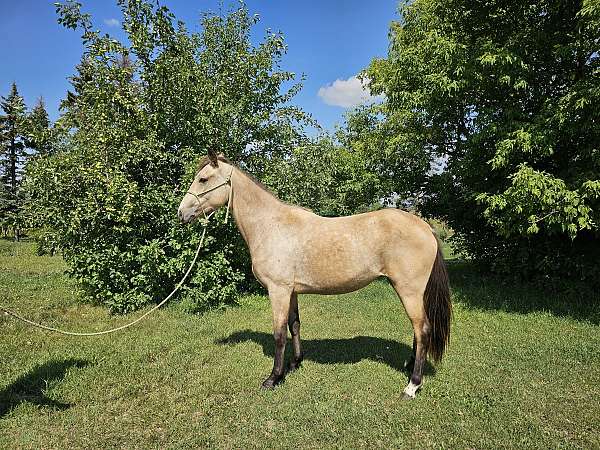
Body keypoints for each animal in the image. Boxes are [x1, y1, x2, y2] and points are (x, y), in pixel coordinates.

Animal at [178, 153, 450, 400]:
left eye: (203, 179)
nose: (181, 213)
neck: (271, 226)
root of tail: (426, 227)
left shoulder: (278, 290)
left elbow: (279, 334)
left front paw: (273, 378)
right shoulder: (291, 291)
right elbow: (294, 326)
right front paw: (295, 364)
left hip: (409, 290)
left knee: (422, 329)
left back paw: (412, 386)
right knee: (417, 330)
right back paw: (409, 366)